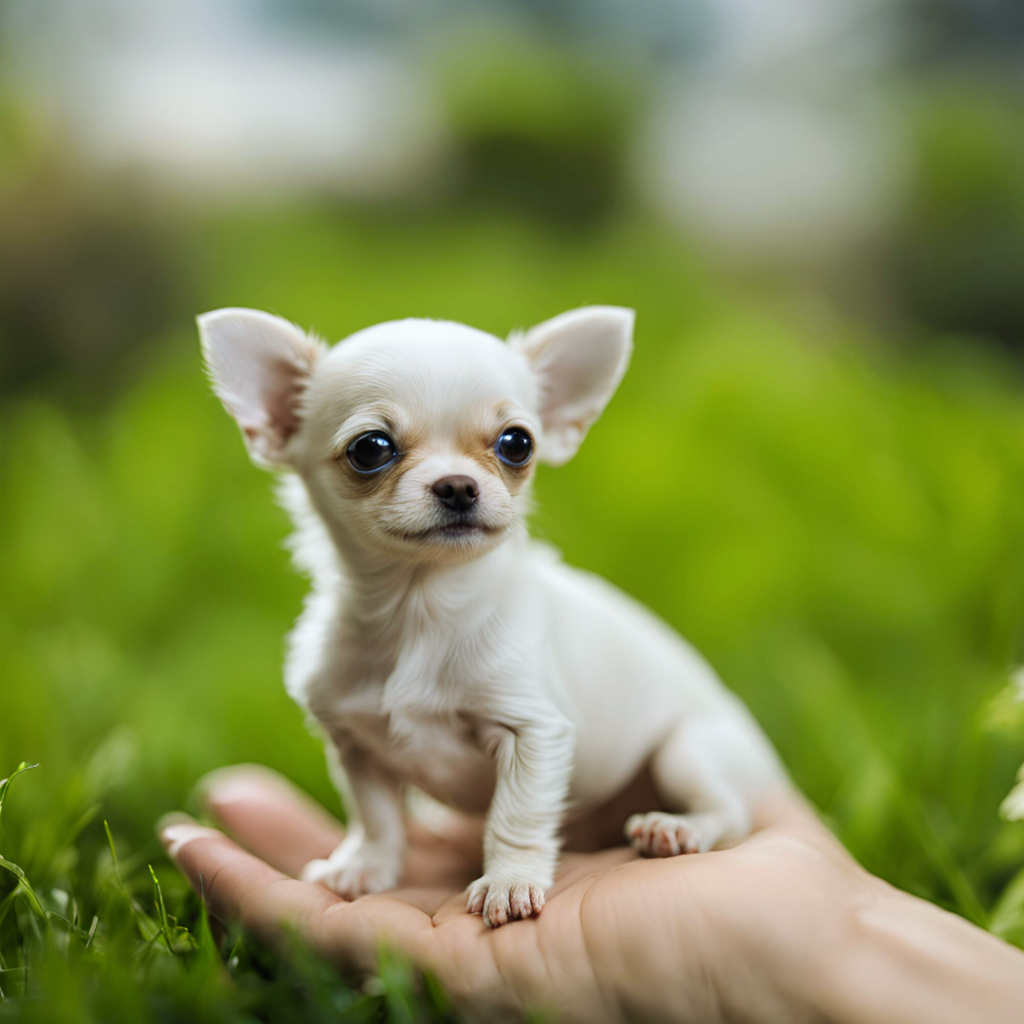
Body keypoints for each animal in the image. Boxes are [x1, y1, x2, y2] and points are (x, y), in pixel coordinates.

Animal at [195, 303, 782, 929]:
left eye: (516, 443)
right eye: (370, 448)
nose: (458, 485)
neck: (421, 610)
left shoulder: (534, 731)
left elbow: (515, 817)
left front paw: (509, 883)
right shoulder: (355, 742)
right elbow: (375, 815)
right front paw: (367, 865)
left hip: (689, 750)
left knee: (729, 811)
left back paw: (673, 827)